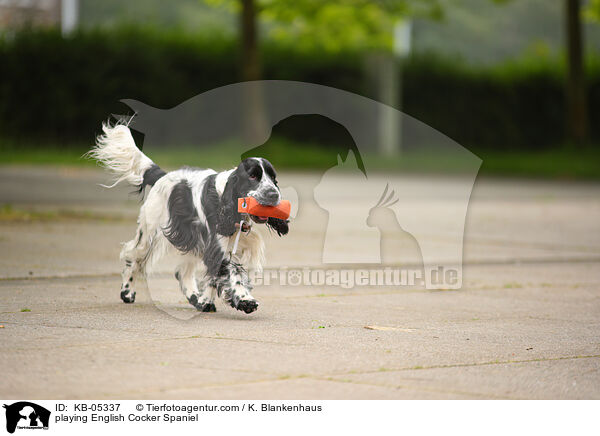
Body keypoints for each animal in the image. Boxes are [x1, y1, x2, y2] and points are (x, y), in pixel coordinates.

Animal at [86, 122, 288, 314]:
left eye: (274, 178)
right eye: (253, 176)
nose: (274, 194)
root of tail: (163, 176)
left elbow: (214, 277)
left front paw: (206, 301)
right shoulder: (217, 248)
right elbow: (233, 274)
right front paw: (246, 300)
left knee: (182, 272)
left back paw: (195, 298)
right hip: (149, 233)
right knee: (133, 257)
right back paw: (127, 292)